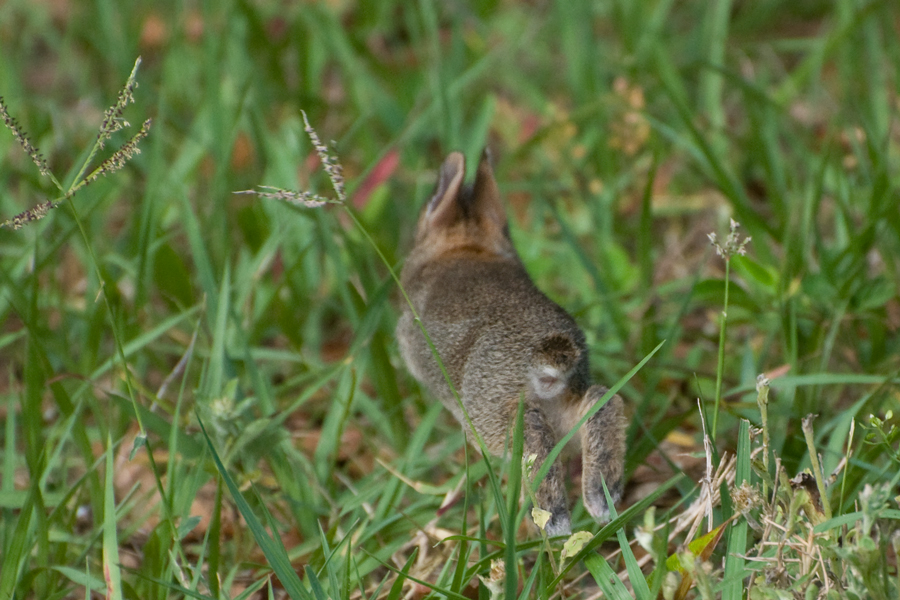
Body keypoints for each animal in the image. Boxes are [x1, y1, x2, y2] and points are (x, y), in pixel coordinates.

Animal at [400, 150, 624, 536]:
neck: (465, 247)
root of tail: (547, 352)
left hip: (496, 415)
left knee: (531, 441)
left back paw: (554, 521)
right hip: (567, 408)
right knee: (601, 402)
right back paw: (601, 500)